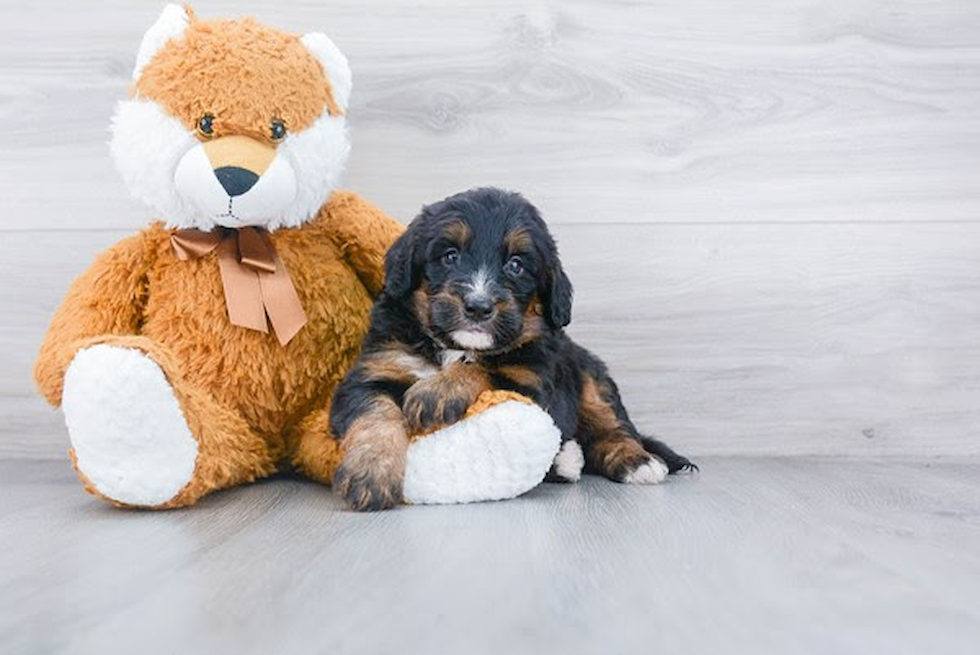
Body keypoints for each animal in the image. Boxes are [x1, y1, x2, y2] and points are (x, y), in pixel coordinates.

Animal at [332, 187, 696, 510]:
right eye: (450, 256)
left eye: (516, 264)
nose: (478, 307)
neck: (451, 346)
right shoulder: (376, 369)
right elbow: (376, 416)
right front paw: (370, 474)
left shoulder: (532, 383)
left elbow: (484, 368)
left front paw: (438, 391)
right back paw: (566, 460)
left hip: (591, 378)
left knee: (613, 429)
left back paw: (636, 461)